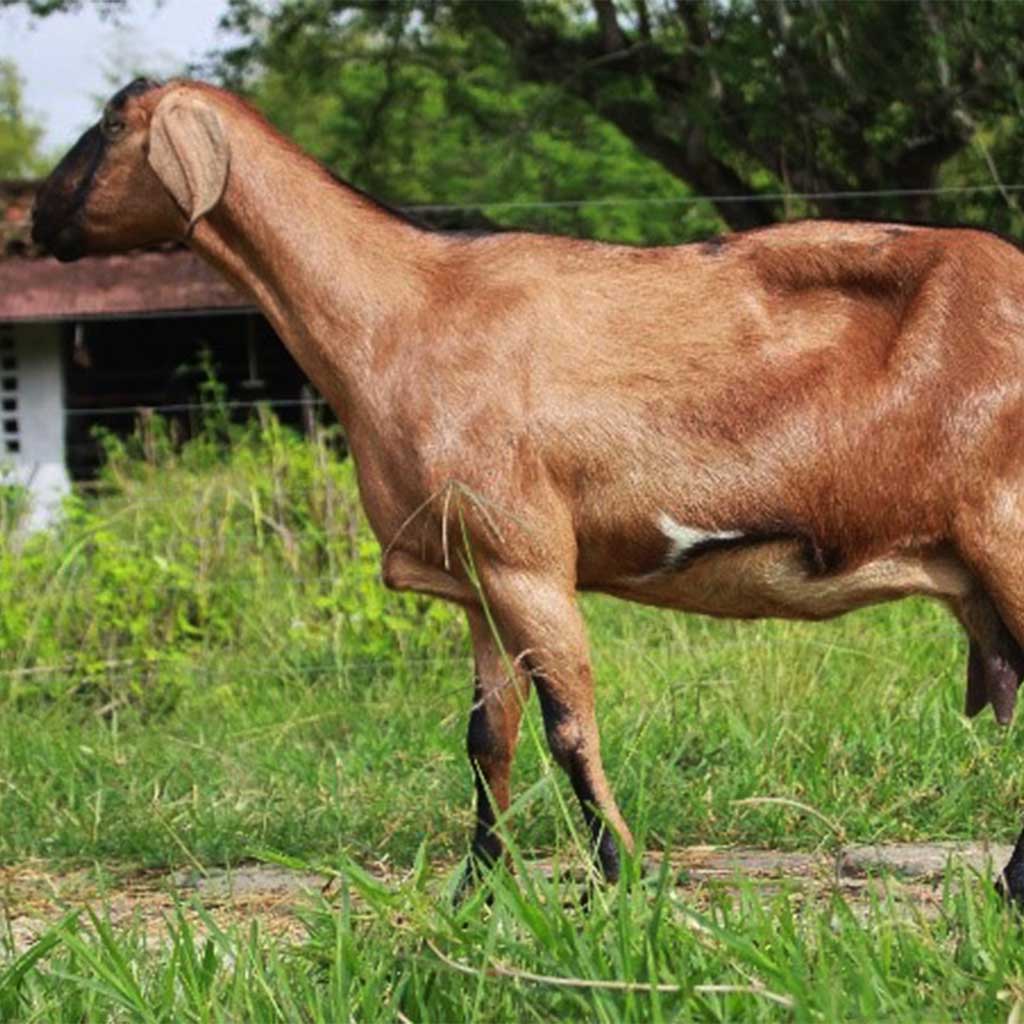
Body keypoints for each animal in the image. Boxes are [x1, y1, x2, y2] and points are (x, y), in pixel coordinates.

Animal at [34, 77, 1024, 897]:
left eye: (109, 125)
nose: (37, 219)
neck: (401, 313)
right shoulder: (474, 573)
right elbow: (488, 739)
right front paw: (477, 891)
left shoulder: (528, 557)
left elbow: (568, 725)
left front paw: (617, 880)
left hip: (1005, 529)